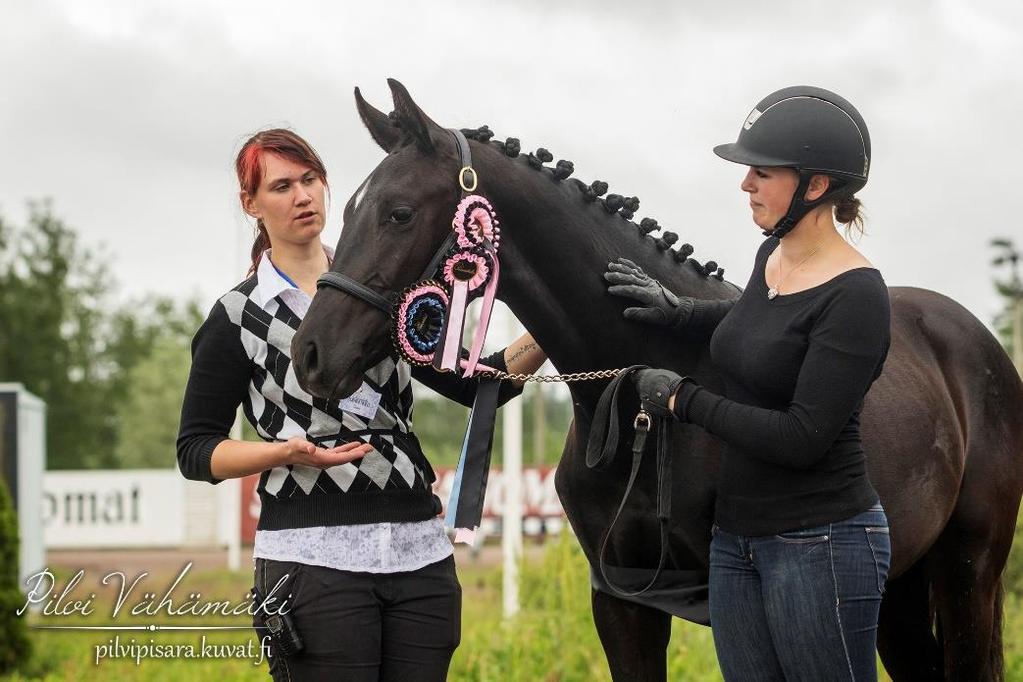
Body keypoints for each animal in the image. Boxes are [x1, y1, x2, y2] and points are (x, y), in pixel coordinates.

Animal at [290, 81, 1023, 682]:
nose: (310, 354)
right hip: (897, 586)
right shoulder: (621, 602)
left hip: (967, 570)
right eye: (347, 208)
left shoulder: (727, 599)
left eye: (399, 213)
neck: (627, 400)